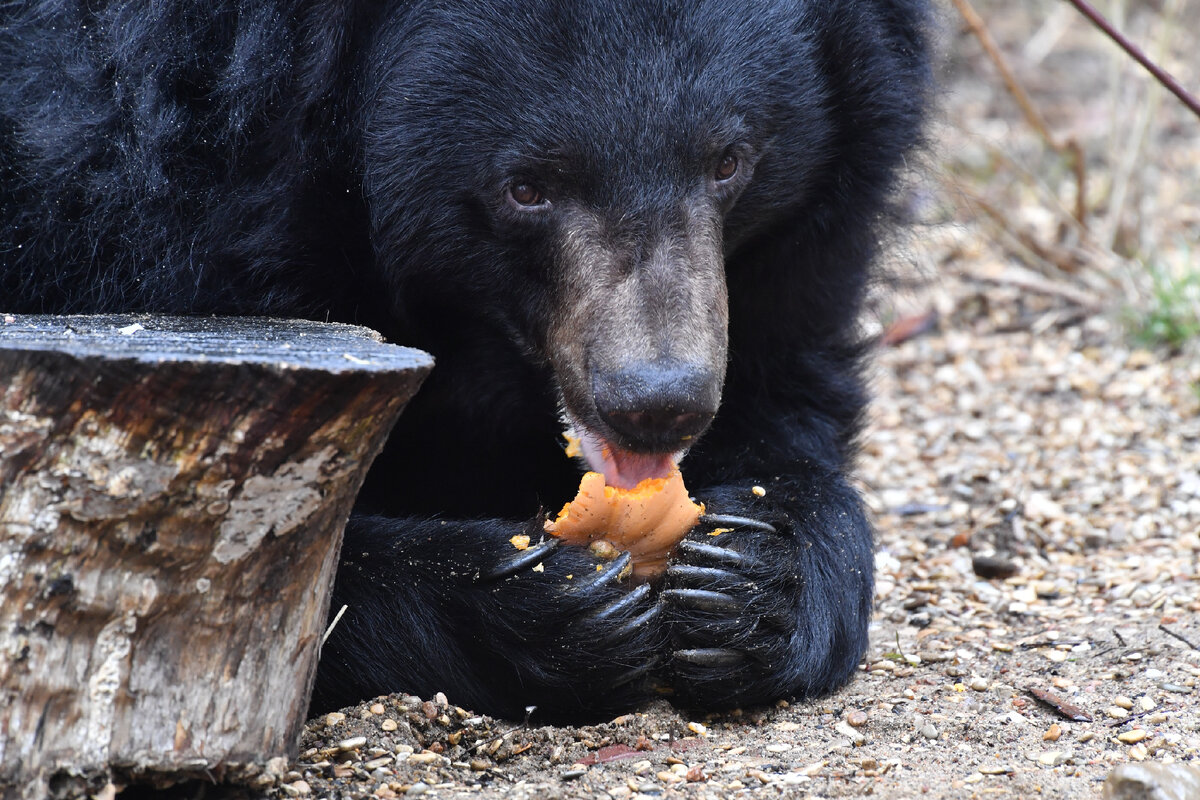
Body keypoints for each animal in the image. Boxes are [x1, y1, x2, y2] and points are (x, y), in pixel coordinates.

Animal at [0, 0, 931, 724]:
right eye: (528, 188)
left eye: (728, 162)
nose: (656, 403)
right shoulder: (129, 227)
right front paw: (550, 604)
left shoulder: (799, 254)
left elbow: (788, 400)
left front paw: (750, 579)